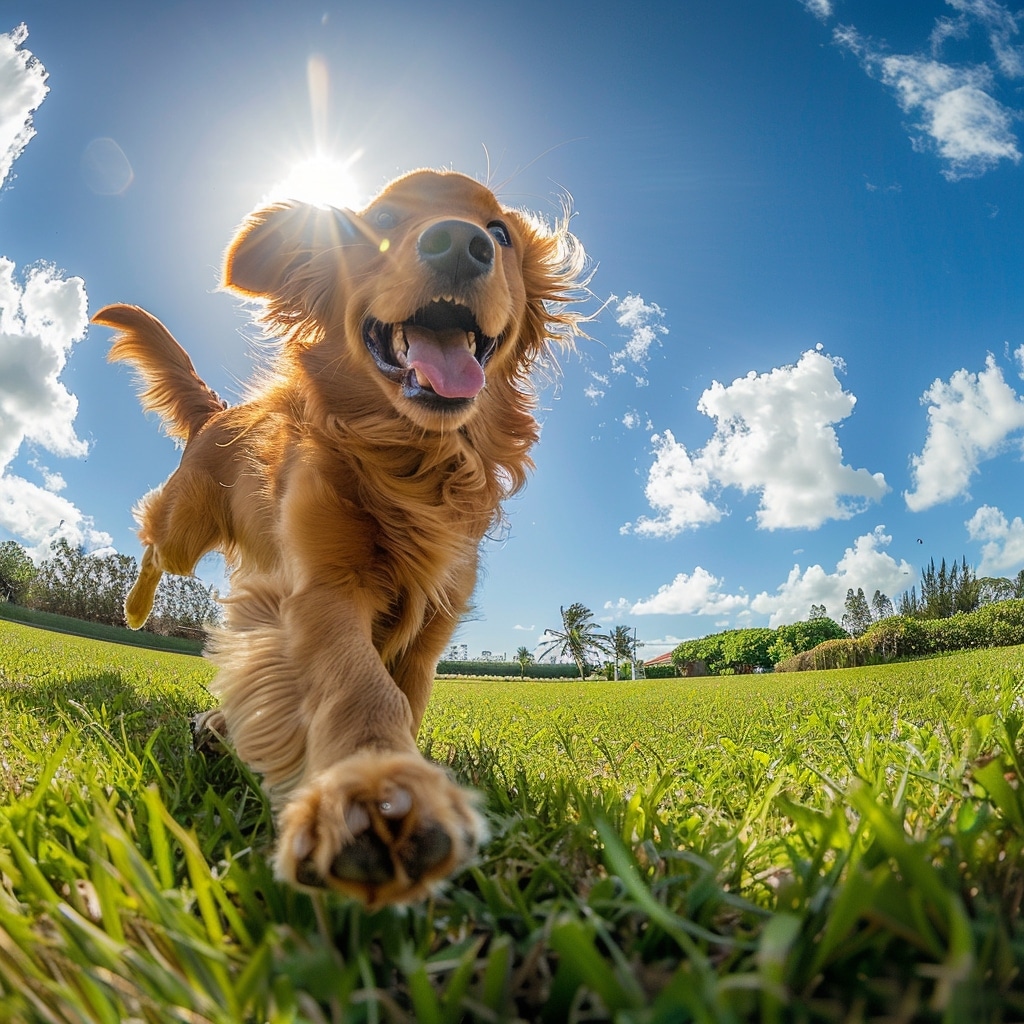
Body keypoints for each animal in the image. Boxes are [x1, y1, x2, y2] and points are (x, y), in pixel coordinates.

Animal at [92, 172, 589, 909]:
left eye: (499, 232)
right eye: (379, 222)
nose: (460, 243)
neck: (411, 463)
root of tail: (219, 415)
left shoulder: (430, 629)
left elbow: (401, 699)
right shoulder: (323, 590)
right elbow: (360, 687)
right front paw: (376, 789)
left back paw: (215, 727)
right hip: (185, 527)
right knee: (155, 540)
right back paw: (132, 611)